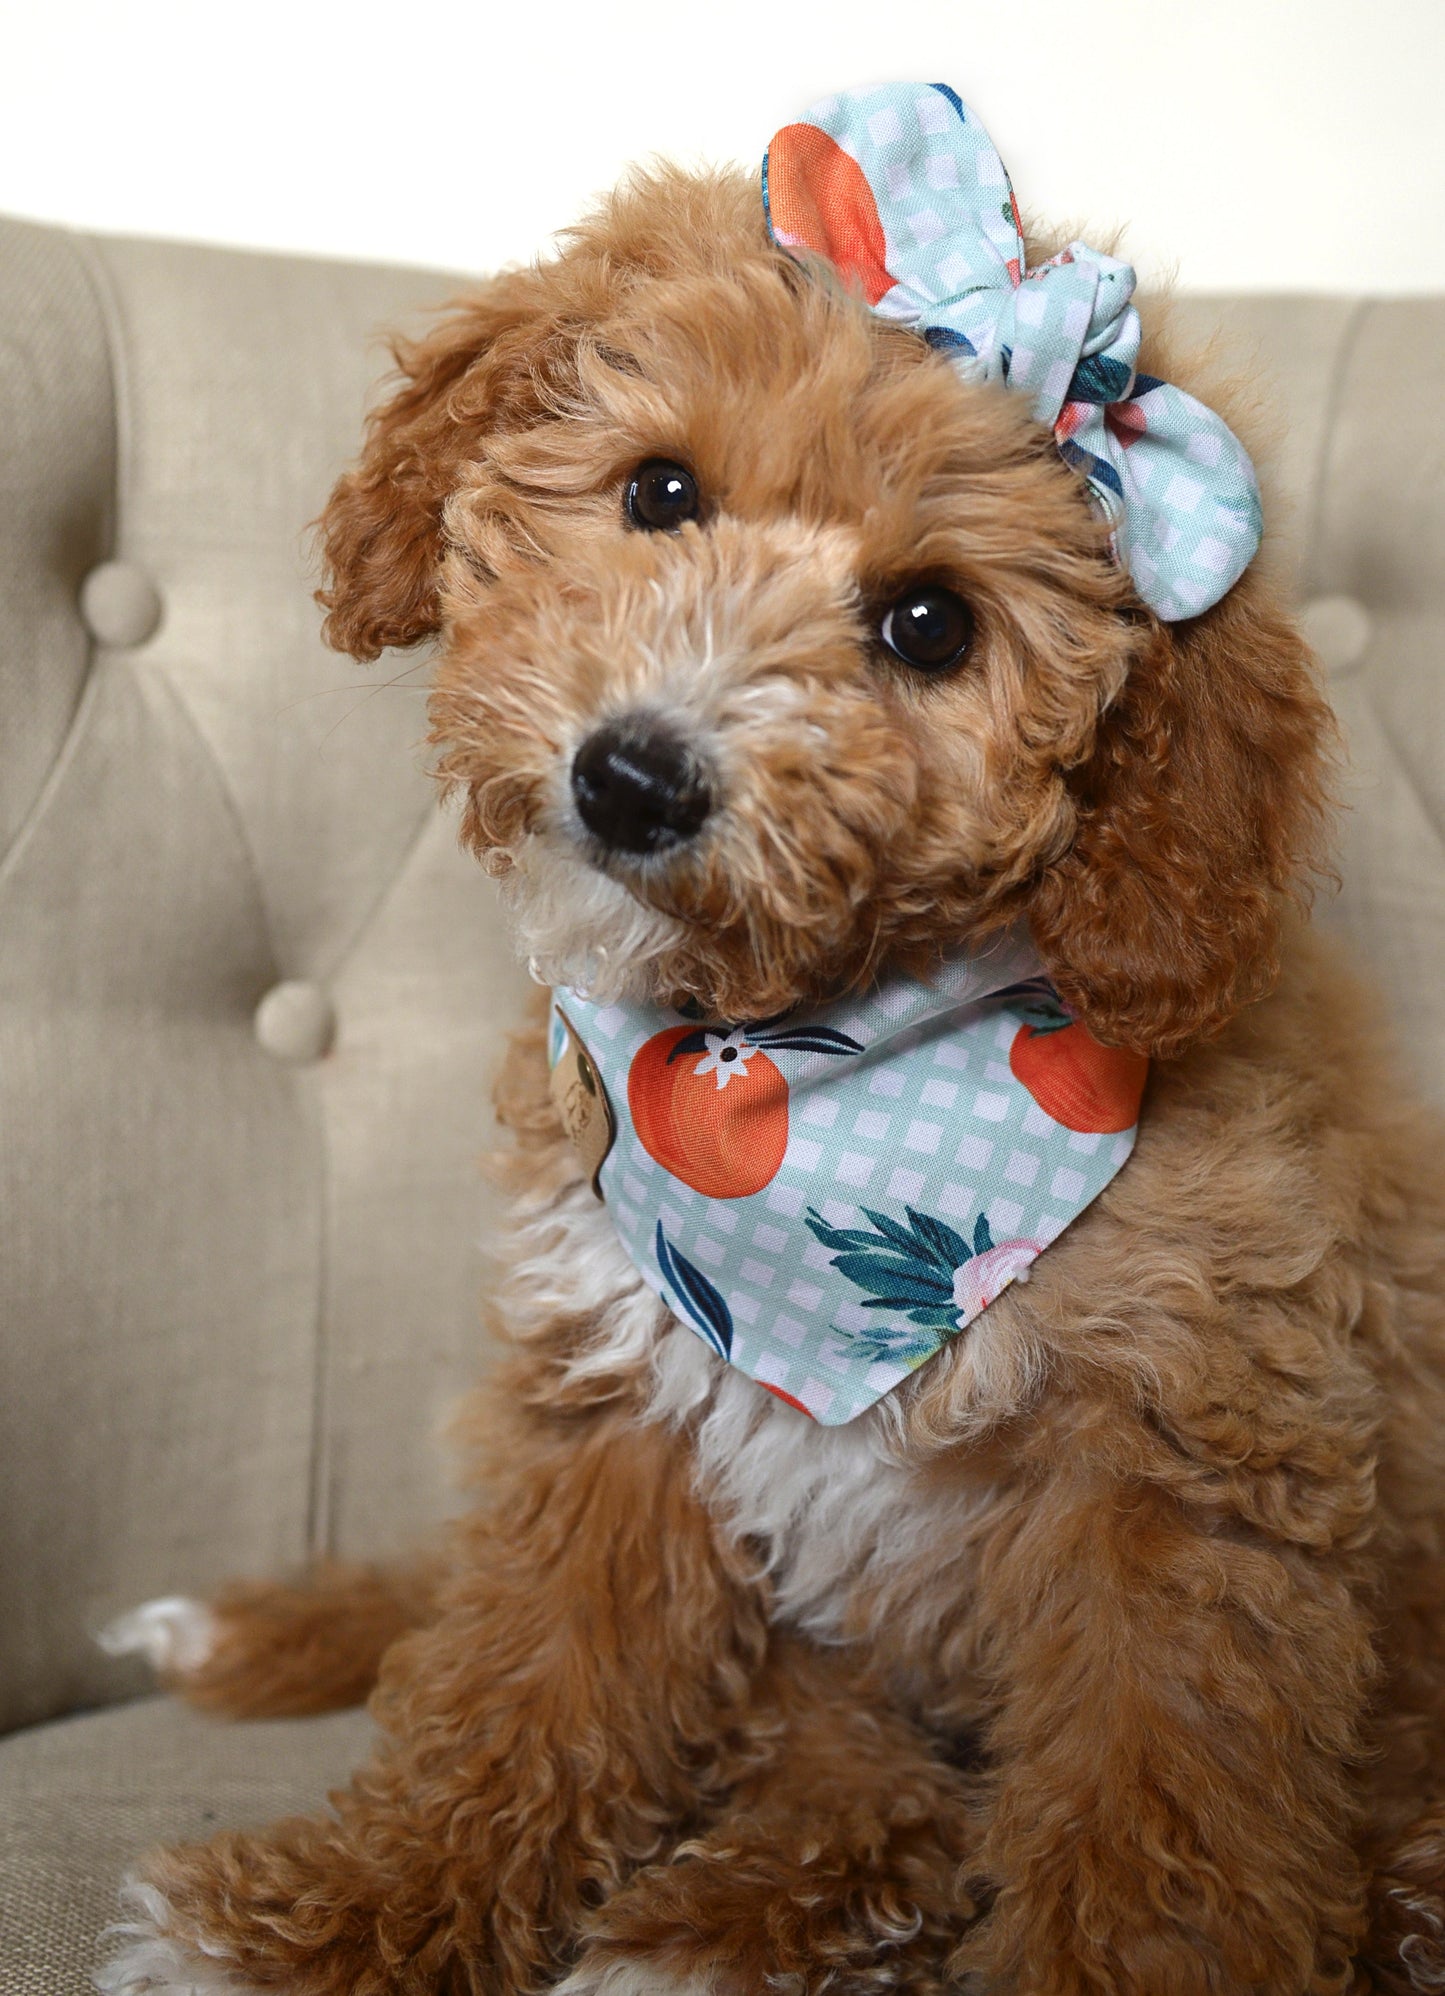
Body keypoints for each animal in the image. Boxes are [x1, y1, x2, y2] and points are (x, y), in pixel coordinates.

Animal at [95, 81, 1445, 1996]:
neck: (814, 1074)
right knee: (824, 1763)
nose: (635, 777)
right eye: (661, 491)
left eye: (930, 623)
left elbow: (1154, 1810)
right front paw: (346, 1909)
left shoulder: (1183, 1478)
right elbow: (521, 1683)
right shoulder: (617, 1403)